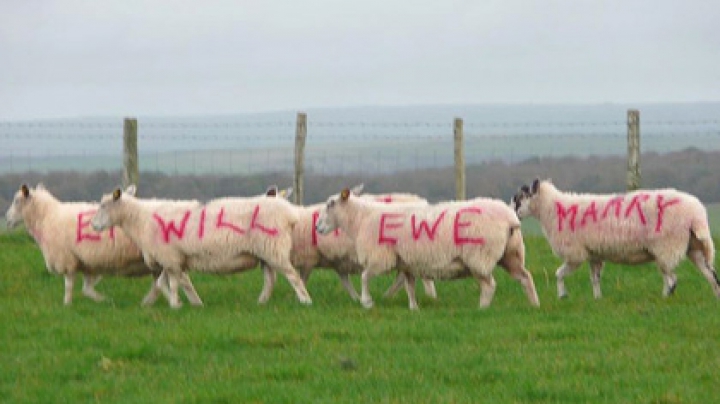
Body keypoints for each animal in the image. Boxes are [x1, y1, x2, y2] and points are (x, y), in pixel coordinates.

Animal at [3, 184, 200, 306]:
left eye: (16, 201)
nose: (7, 220)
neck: (46, 217)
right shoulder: (88, 263)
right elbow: (86, 289)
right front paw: (103, 300)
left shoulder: (67, 259)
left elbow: (69, 286)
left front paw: (67, 304)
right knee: (166, 280)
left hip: (165, 254)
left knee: (180, 279)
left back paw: (189, 301)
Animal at [90, 187, 312, 310]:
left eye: (103, 205)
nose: (93, 226)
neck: (139, 219)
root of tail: (290, 213)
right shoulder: (173, 259)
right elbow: (169, 283)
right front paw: (191, 303)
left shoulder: (169, 257)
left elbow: (175, 283)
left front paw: (176, 305)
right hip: (265, 253)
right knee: (270, 280)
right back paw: (261, 303)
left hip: (273, 247)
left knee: (293, 275)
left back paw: (305, 301)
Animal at [290, 186, 436, 300]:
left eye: (330, 204)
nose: (317, 227)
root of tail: (422, 202)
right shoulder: (338, 262)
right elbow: (345, 281)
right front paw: (357, 298)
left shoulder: (309, 259)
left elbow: (301, 280)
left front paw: (300, 298)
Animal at [316, 186, 540, 310]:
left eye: (330, 204)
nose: (318, 227)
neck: (361, 219)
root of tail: (511, 219)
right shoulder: (406, 263)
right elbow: (410, 287)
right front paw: (414, 308)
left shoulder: (380, 257)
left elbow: (364, 277)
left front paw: (366, 302)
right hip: (511, 254)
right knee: (525, 277)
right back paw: (534, 305)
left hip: (479, 257)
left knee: (489, 285)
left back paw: (481, 309)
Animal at [512, 178, 720, 298]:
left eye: (519, 198)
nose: (512, 217)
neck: (552, 210)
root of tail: (697, 214)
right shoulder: (594, 253)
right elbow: (595, 278)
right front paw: (597, 299)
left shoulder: (575, 254)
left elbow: (558, 274)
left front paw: (562, 295)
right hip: (694, 247)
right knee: (710, 275)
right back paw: (714, 296)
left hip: (667, 246)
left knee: (672, 277)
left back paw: (666, 296)